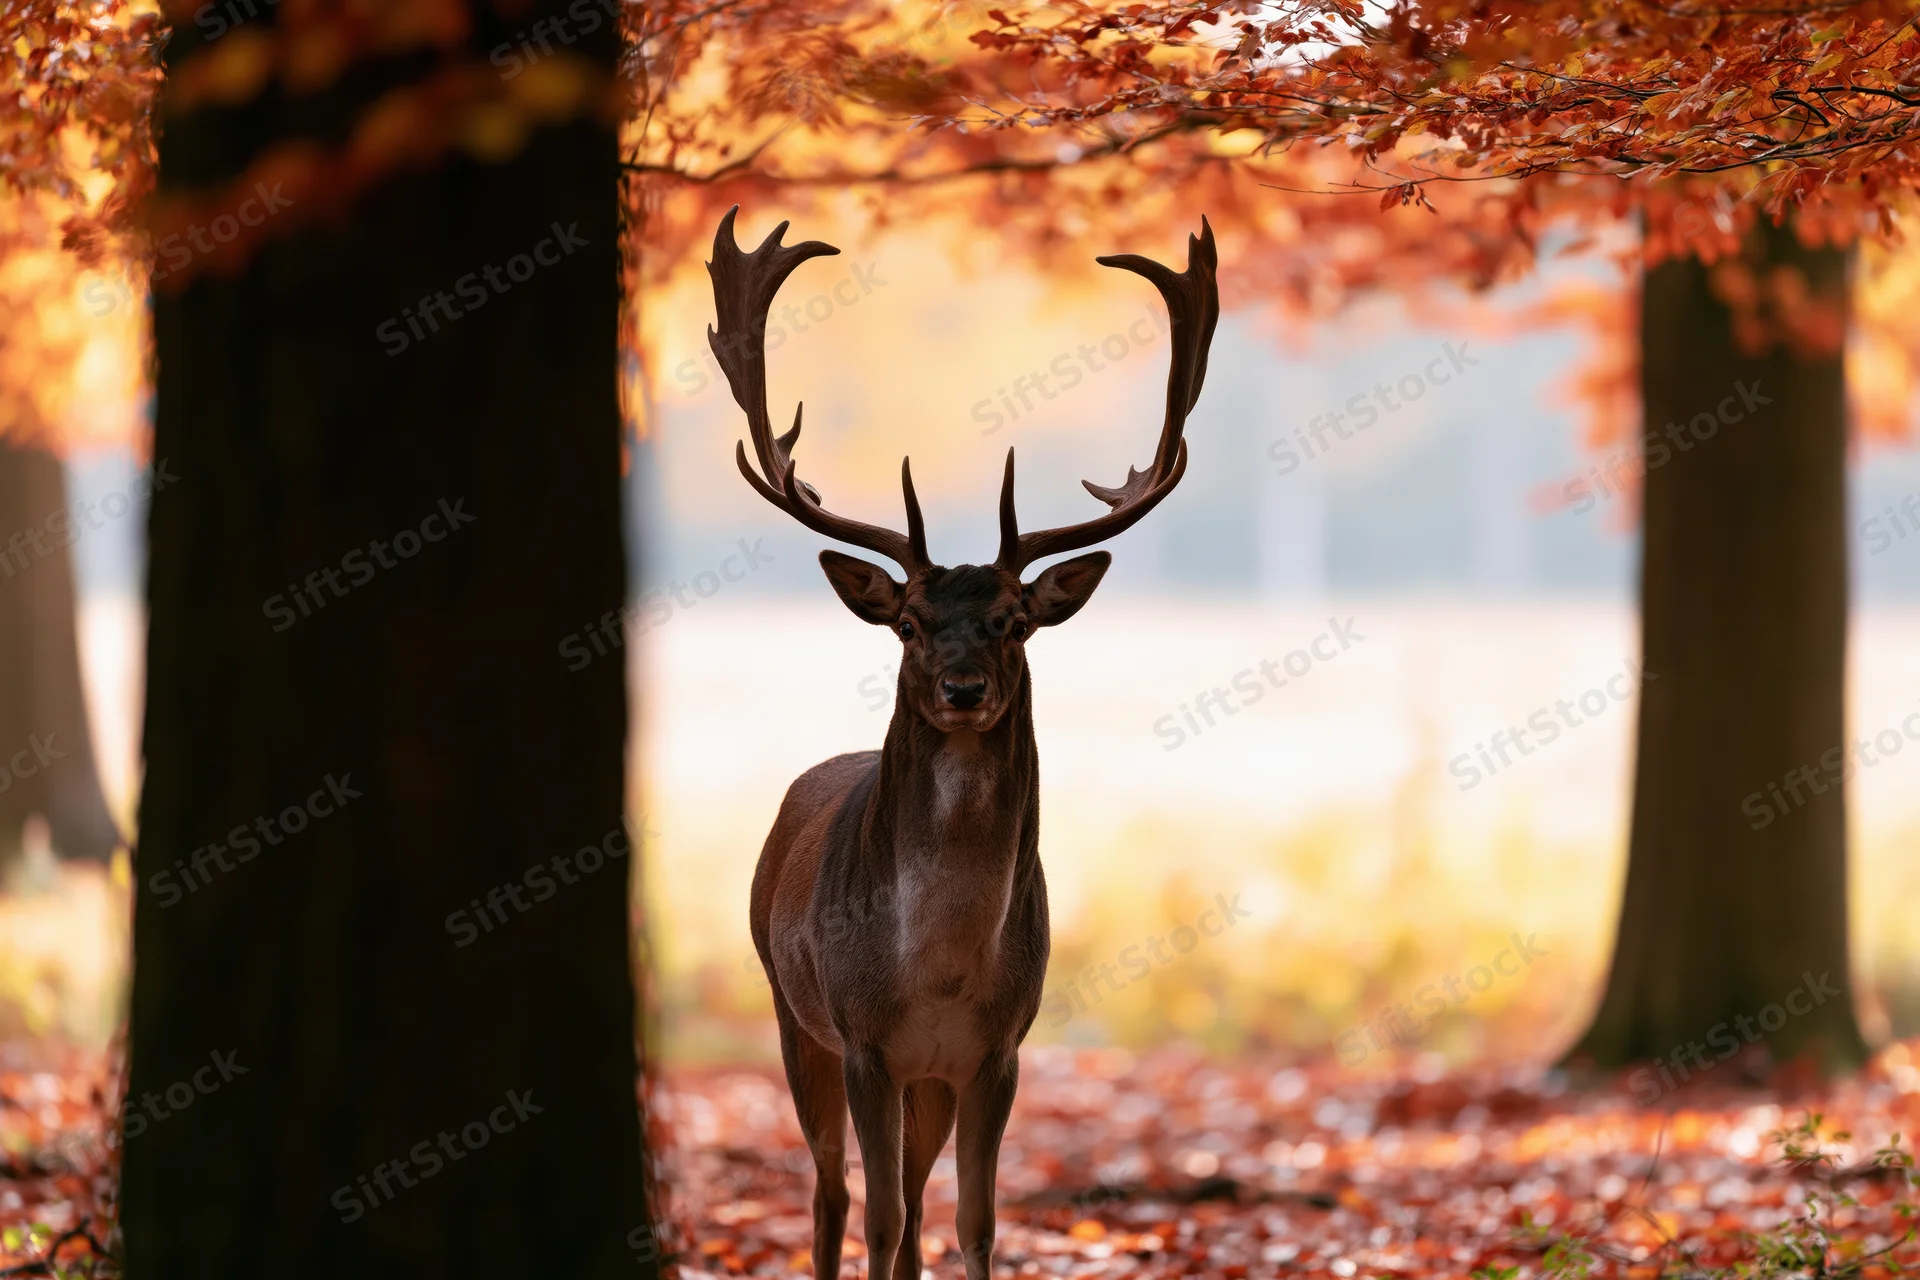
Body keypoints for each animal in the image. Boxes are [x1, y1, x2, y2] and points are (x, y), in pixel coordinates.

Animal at [709, 205, 1218, 1280]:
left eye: (1014, 621)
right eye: (907, 621)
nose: (962, 687)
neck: (940, 969)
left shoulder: (996, 1050)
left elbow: (973, 1222)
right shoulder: (864, 1040)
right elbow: (879, 1217)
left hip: (925, 1083)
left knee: (906, 1202)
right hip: (791, 1011)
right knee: (832, 1195)